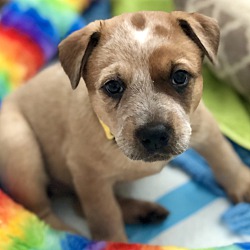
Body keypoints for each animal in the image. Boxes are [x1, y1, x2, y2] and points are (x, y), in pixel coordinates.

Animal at [0, 10, 250, 241]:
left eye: (179, 76)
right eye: (113, 86)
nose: (155, 134)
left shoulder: (205, 128)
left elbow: (225, 160)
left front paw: (243, 185)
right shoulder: (90, 178)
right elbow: (106, 217)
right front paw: (114, 243)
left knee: (76, 205)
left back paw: (142, 212)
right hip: (22, 148)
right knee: (41, 213)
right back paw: (68, 237)